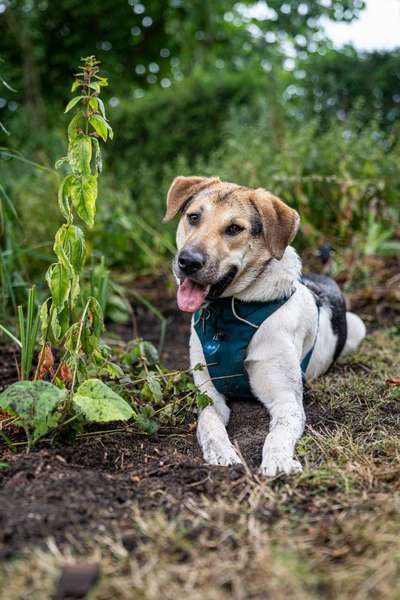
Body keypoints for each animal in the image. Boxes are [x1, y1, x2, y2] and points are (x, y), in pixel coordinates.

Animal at [162, 176, 366, 476]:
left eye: (234, 228)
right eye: (194, 217)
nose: (187, 261)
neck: (230, 313)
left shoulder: (287, 400)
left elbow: (278, 434)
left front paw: (278, 461)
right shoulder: (208, 394)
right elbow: (209, 424)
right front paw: (222, 453)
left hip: (357, 326)